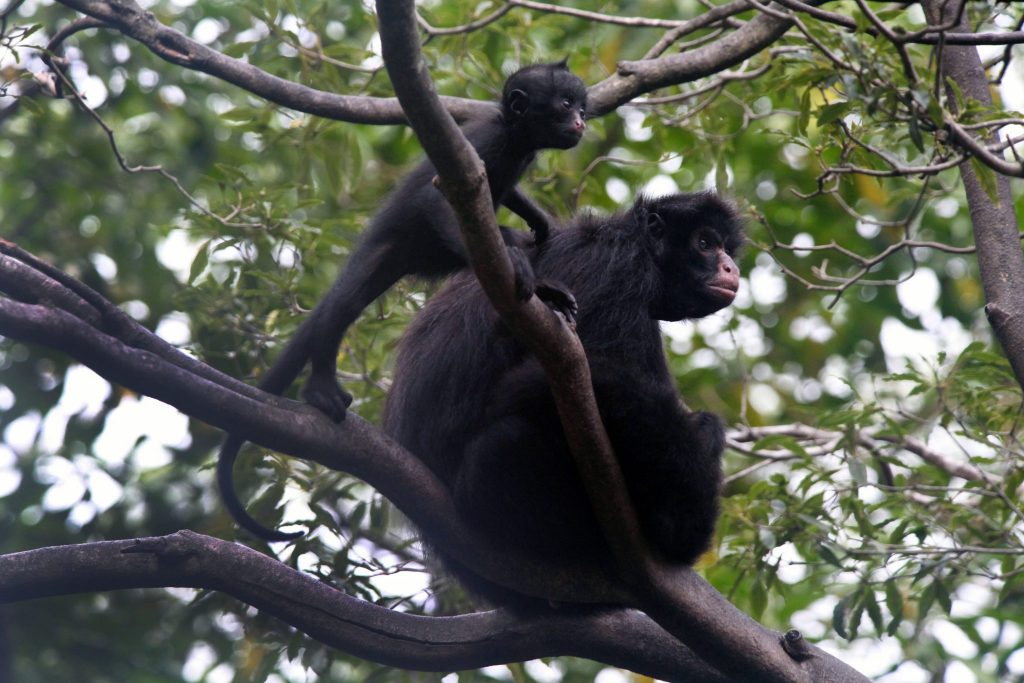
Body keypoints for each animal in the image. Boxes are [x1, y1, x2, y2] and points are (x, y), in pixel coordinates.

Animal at [218, 62, 588, 541]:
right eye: (565, 104)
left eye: (582, 106)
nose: (580, 122)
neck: (514, 134)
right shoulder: (482, 144)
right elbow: (437, 198)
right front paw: (520, 260)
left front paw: (539, 223)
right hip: (385, 251)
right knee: (343, 306)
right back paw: (319, 388)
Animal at [382, 191, 744, 605]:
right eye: (705, 243)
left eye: (725, 246)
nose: (730, 266)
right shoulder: (615, 267)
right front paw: (680, 526)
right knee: (509, 436)